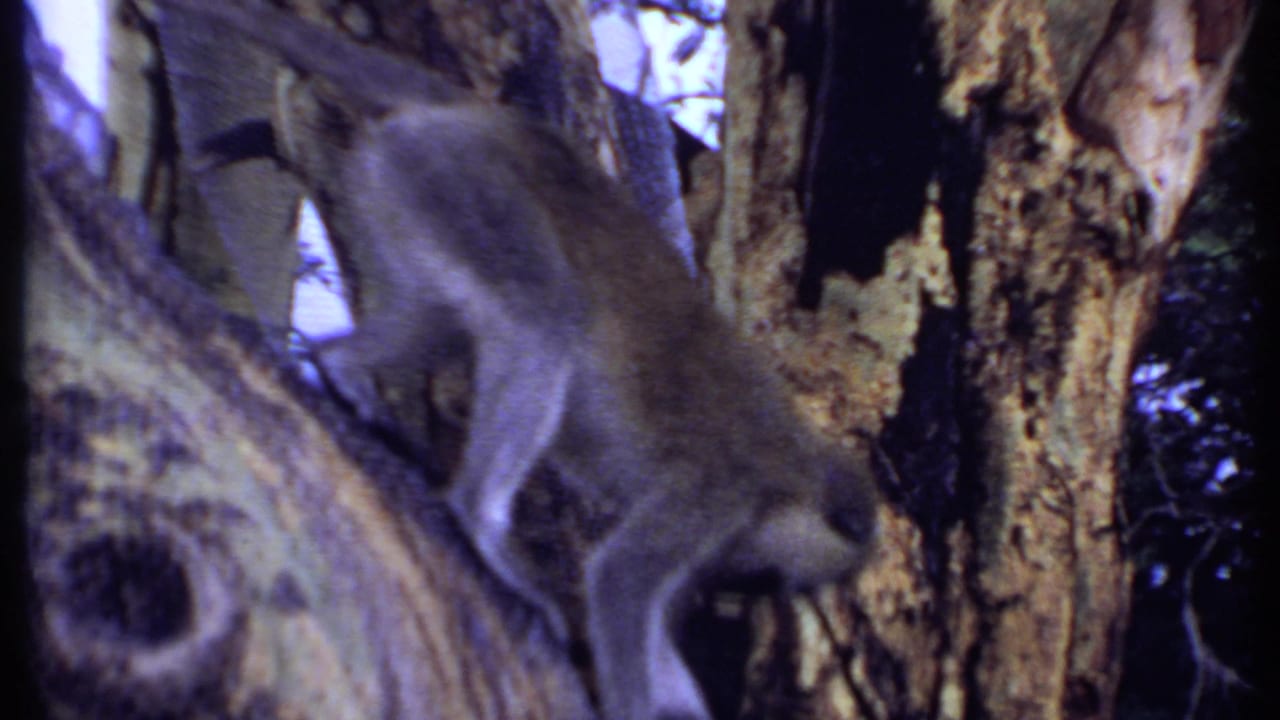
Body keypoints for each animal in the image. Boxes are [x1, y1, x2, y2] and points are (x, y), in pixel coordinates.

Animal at [155, 3, 880, 719]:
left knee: (449, 322)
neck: (791, 470)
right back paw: (478, 514)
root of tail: (492, 120)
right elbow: (619, 582)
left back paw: (343, 367)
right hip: (467, 182)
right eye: (778, 577)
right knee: (541, 317)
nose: (755, 597)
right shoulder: (713, 497)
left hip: (412, 185)